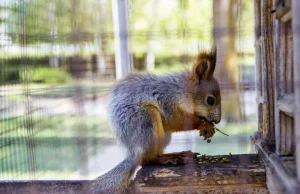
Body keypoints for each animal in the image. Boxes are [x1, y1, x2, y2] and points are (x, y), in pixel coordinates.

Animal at [88, 46, 221, 193]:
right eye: (210, 100)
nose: (218, 120)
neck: (183, 91)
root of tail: (133, 152)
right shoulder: (166, 100)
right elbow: (176, 119)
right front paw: (204, 126)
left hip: (162, 135)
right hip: (146, 120)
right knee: (146, 159)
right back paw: (170, 158)